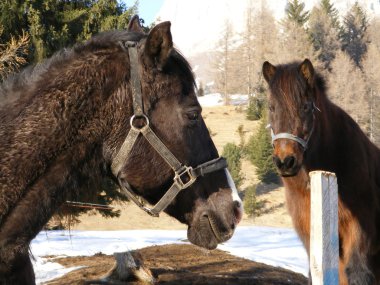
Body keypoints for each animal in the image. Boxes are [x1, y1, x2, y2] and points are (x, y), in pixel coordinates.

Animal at [262, 58, 380, 282]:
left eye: (306, 106)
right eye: (271, 107)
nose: (285, 161)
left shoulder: (359, 233)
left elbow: (358, 272)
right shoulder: (309, 232)